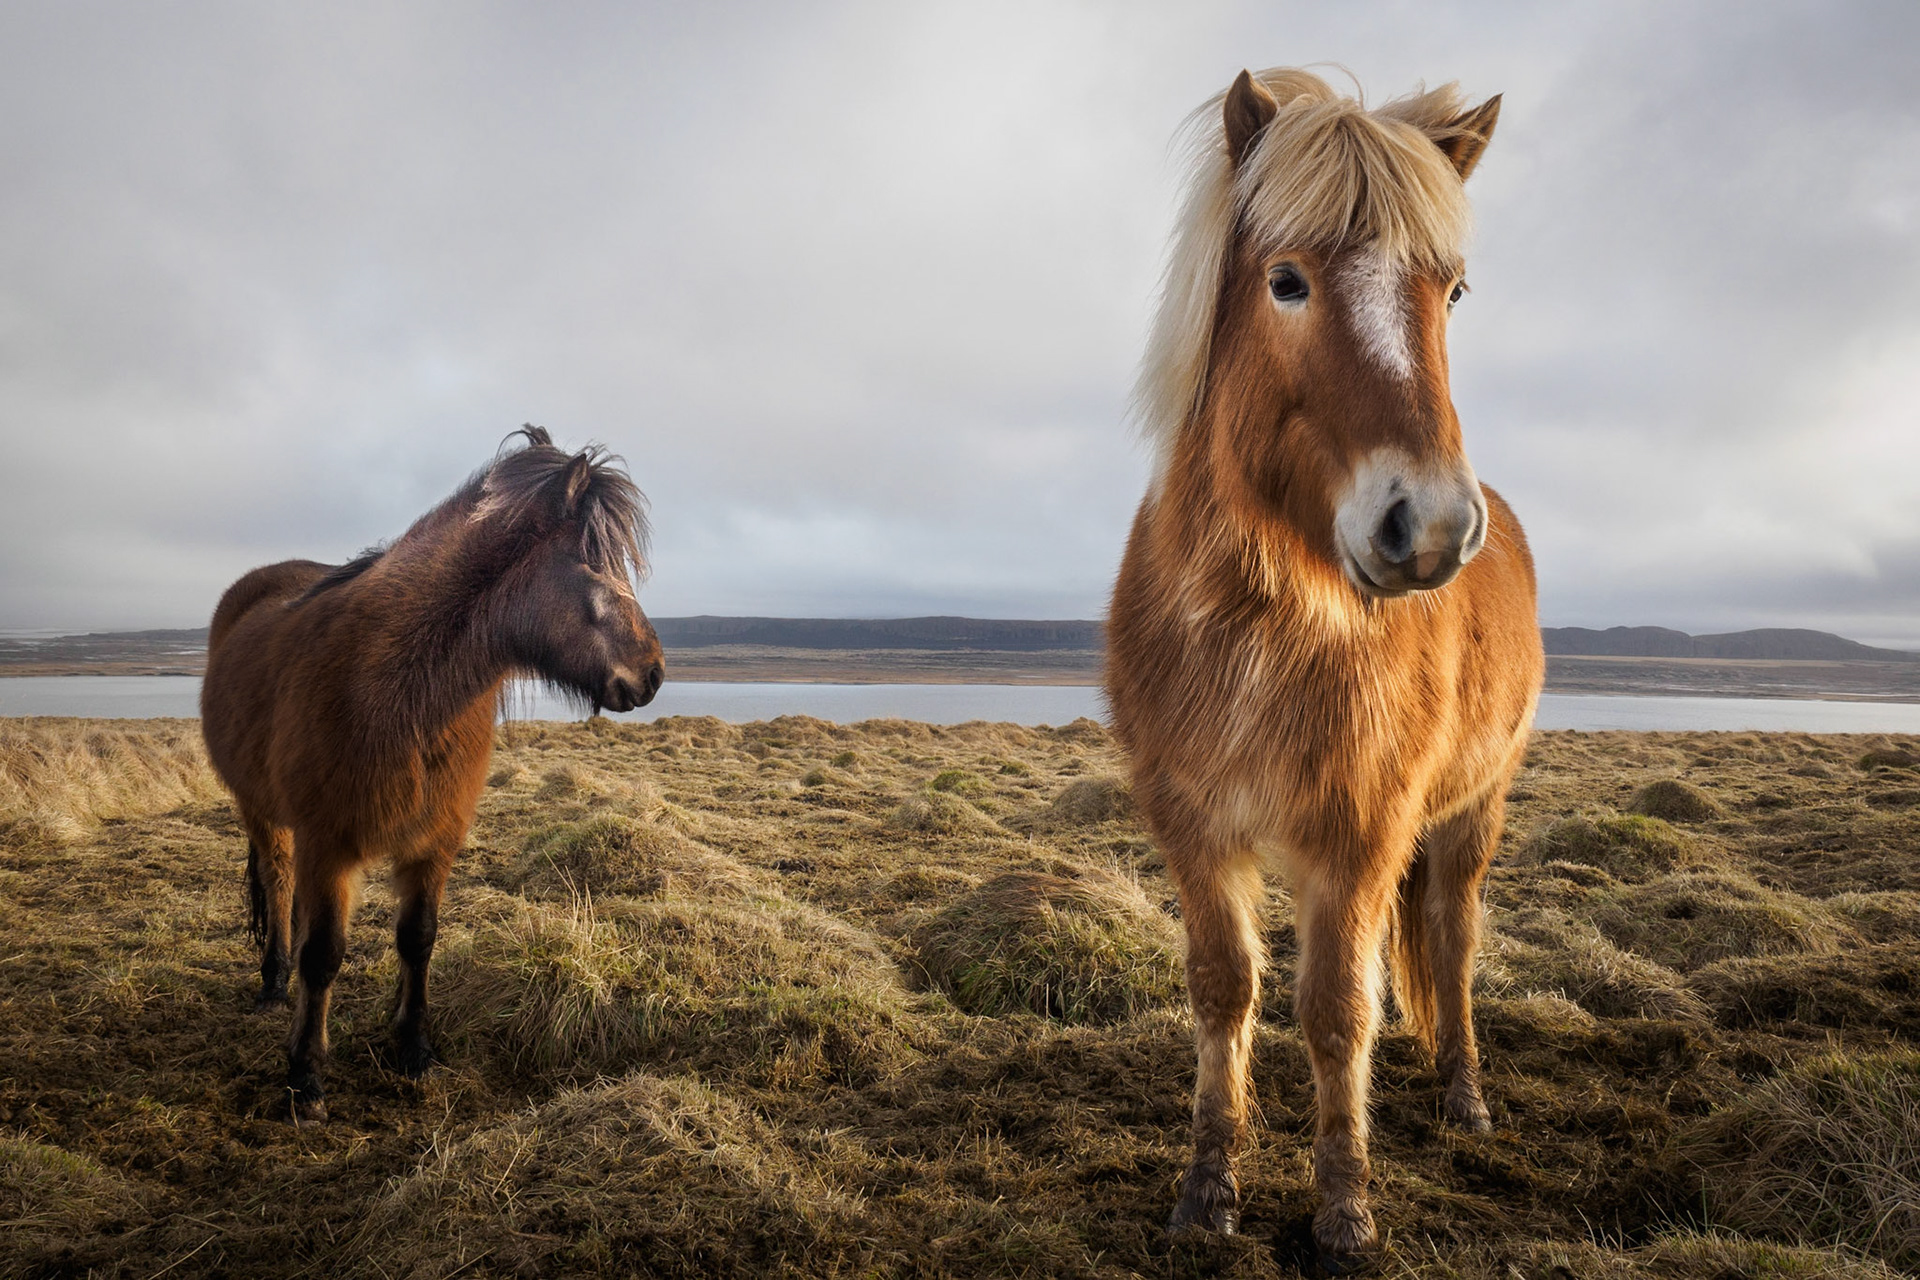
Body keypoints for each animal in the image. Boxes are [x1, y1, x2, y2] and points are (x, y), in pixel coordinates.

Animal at [200, 427, 664, 1121]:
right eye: (593, 566)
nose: (654, 672)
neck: (401, 689)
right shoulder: (327, 843)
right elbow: (324, 955)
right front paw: (305, 1077)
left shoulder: (434, 842)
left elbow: (418, 939)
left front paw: (413, 1048)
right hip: (263, 814)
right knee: (279, 886)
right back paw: (273, 983)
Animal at [1104, 69, 1542, 1269]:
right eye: (1286, 281)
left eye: (1454, 291)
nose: (1431, 526)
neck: (1262, 626)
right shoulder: (1194, 824)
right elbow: (1226, 989)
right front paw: (1209, 1186)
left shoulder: (1360, 831)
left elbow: (1340, 1007)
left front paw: (1345, 1205)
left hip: (1472, 808)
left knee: (1452, 939)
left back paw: (1464, 1095)